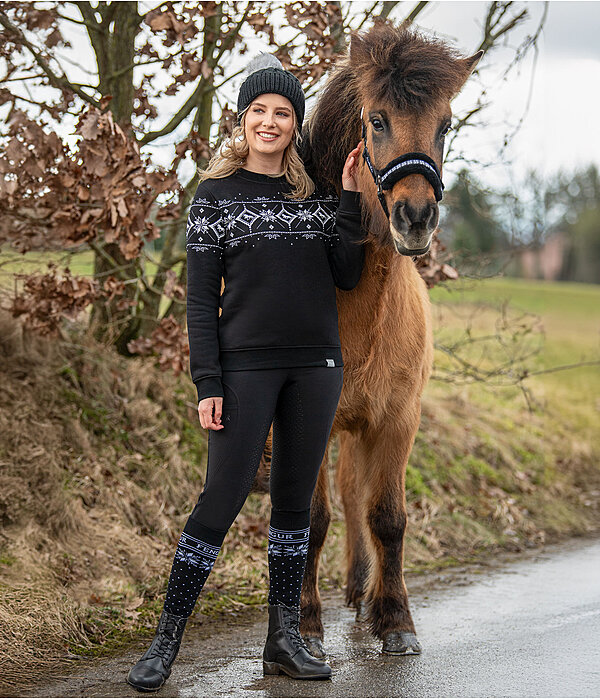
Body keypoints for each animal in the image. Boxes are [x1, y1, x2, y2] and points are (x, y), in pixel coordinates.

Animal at [294, 21, 482, 656]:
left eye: (445, 123)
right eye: (376, 121)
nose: (416, 218)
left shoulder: (397, 420)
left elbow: (387, 517)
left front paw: (395, 618)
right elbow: (310, 520)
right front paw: (305, 626)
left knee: (355, 493)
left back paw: (361, 592)